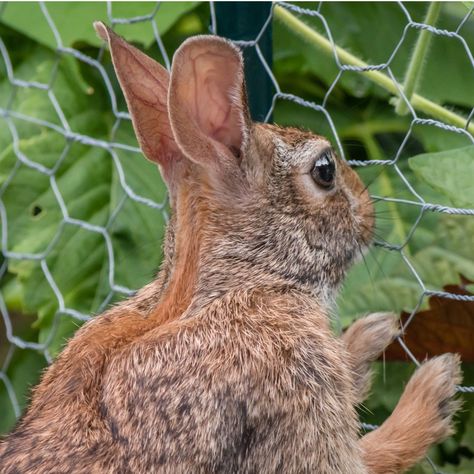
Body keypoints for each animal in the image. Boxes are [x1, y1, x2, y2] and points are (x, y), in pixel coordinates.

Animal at [0, 25, 460, 474]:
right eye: (325, 170)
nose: (368, 214)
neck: (237, 284)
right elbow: (369, 456)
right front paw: (432, 390)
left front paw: (370, 335)